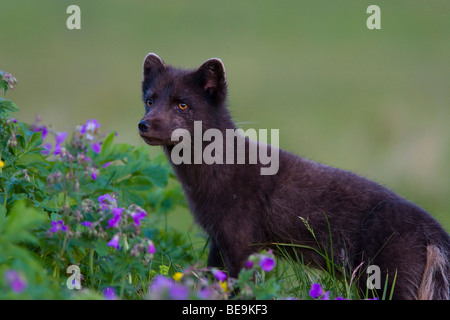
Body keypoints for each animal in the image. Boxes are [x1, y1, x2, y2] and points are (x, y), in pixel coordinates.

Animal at [138, 53, 450, 300]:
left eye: (182, 104)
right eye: (150, 100)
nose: (144, 124)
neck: (205, 182)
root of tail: (435, 232)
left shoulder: (242, 238)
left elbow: (240, 284)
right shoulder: (217, 237)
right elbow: (213, 277)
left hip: (386, 279)